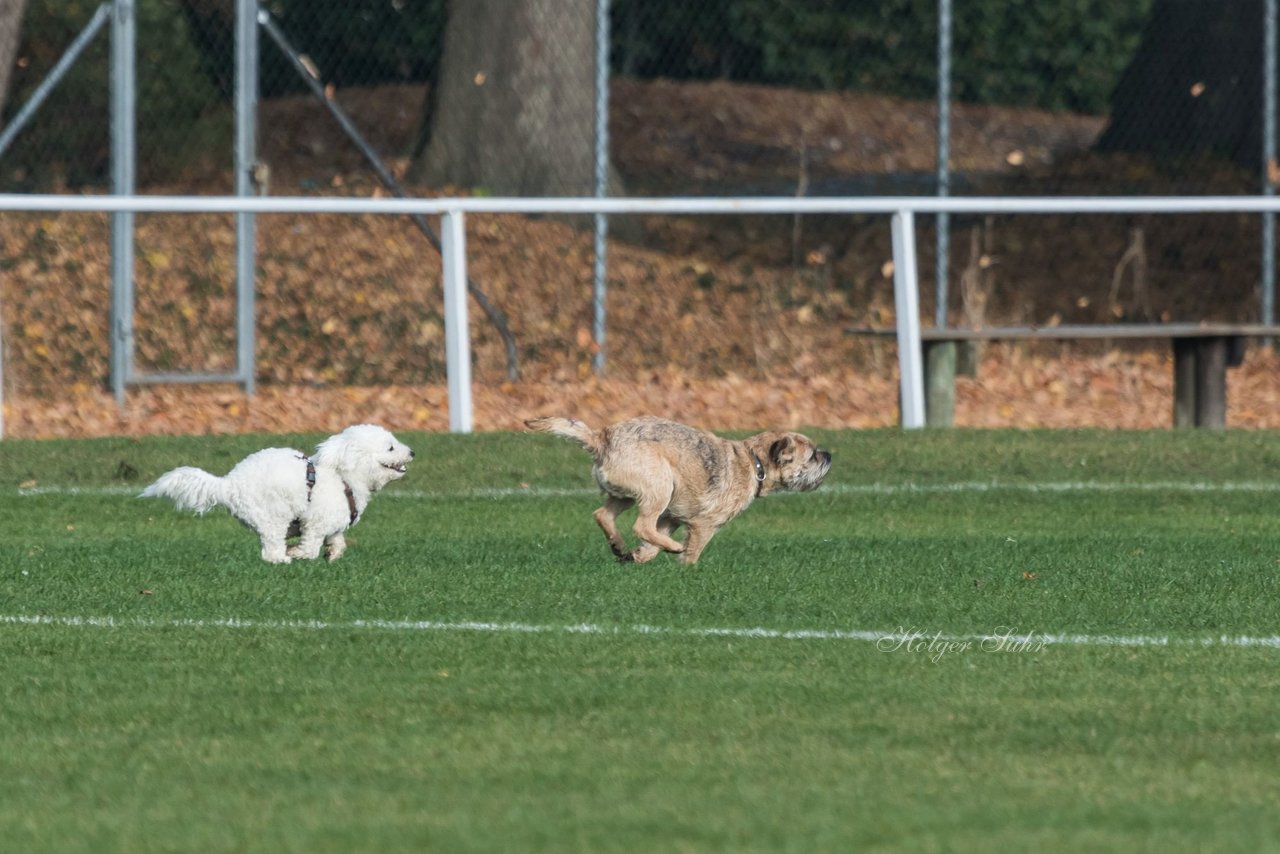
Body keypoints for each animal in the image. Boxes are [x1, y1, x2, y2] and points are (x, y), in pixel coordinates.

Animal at [144, 425, 414, 563]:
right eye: (391, 447)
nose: (412, 452)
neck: (342, 477)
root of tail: (229, 484)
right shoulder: (315, 524)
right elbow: (310, 548)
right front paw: (298, 553)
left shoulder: (333, 524)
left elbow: (338, 541)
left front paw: (333, 553)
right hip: (273, 518)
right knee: (270, 552)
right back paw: (284, 558)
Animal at [524, 414, 834, 563]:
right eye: (812, 456)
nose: (829, 455)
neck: (753, 461)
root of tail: (601, 438)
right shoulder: (704, 525)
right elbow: (692, 551)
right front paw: (687, 566)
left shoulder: (671, 518)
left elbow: (652, 542)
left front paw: (641, 556)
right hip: (660, 483)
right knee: (641, 524)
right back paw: (671, 547)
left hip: (628, 494)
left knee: (604, 515)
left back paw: (620, 546)